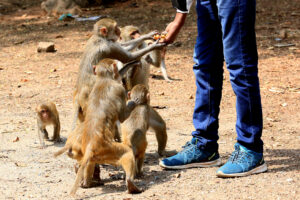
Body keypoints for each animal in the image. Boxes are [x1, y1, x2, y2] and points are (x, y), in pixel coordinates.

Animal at [69, 57, 142, 195]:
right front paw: (132, 102)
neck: (104, 79)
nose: (118, 75)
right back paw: (131, 184)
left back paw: (87, 184)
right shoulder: (120, 90)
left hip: (94, 153)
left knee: (90, 163)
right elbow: (122, 117)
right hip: (108, 150)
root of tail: (91, 145)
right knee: (127, 152)